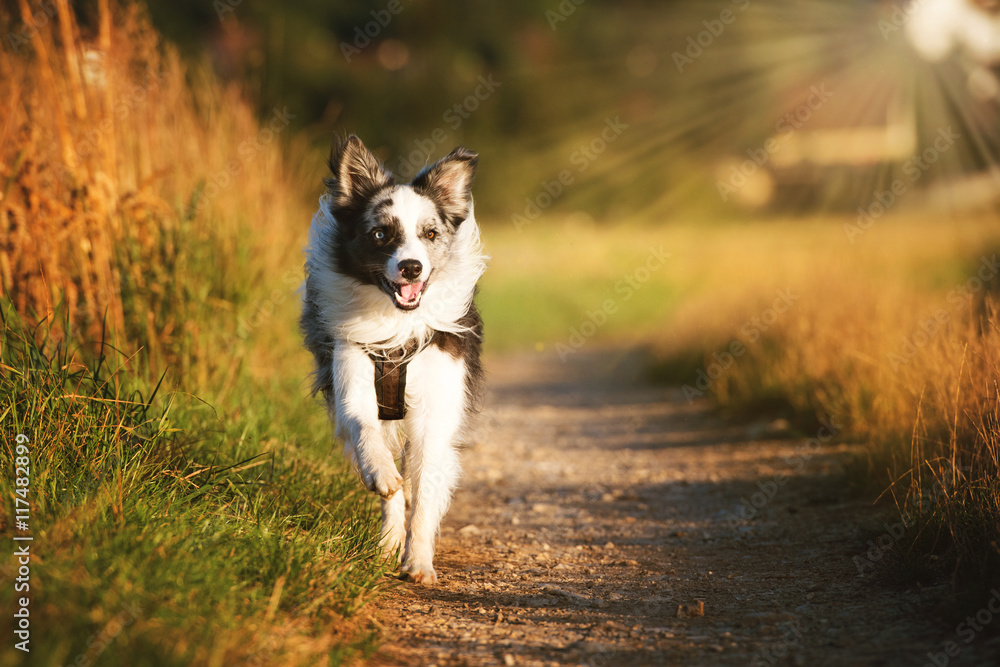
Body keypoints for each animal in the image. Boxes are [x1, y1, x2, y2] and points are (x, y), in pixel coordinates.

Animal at [300, 136, 488, 584]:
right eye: (381, 233)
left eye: (430, 233)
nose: (411, 267)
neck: (398, 324)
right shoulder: (352, 372)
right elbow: (364, 426)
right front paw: (381, 475)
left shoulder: (435, 410)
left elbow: (425, 493)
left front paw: (418, 562)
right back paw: (385, 541)